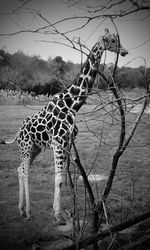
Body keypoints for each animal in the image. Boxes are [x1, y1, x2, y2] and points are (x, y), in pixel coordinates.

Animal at [0, 28, 127, 225]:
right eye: (112, 40)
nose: (125, 52)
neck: (72, 104)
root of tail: (18, 132)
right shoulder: (58, 143)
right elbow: (59, 177)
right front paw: (58, 216)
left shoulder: (67, 142)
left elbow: (64, 176)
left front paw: (63, 213)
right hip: (26, 147)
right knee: (25, 171)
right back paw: (28, 212)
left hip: (35, 148)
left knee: (20, 169)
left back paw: (21, 209)